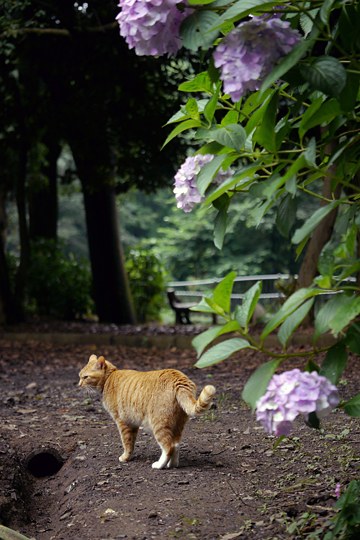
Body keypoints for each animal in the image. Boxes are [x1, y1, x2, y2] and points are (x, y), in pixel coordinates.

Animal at [79, 354, 214, 468]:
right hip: (177, 423)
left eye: (85, 377)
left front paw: (125, 458)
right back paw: (172, 465)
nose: (79, 385)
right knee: (176, 445)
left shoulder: (123, 422)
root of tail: (178, 377)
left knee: (168, 447)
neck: (109, 378)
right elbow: (131, 442)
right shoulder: (132, 423)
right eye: (80, 376)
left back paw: (159, 465)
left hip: (159, 424)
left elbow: (127, 443)